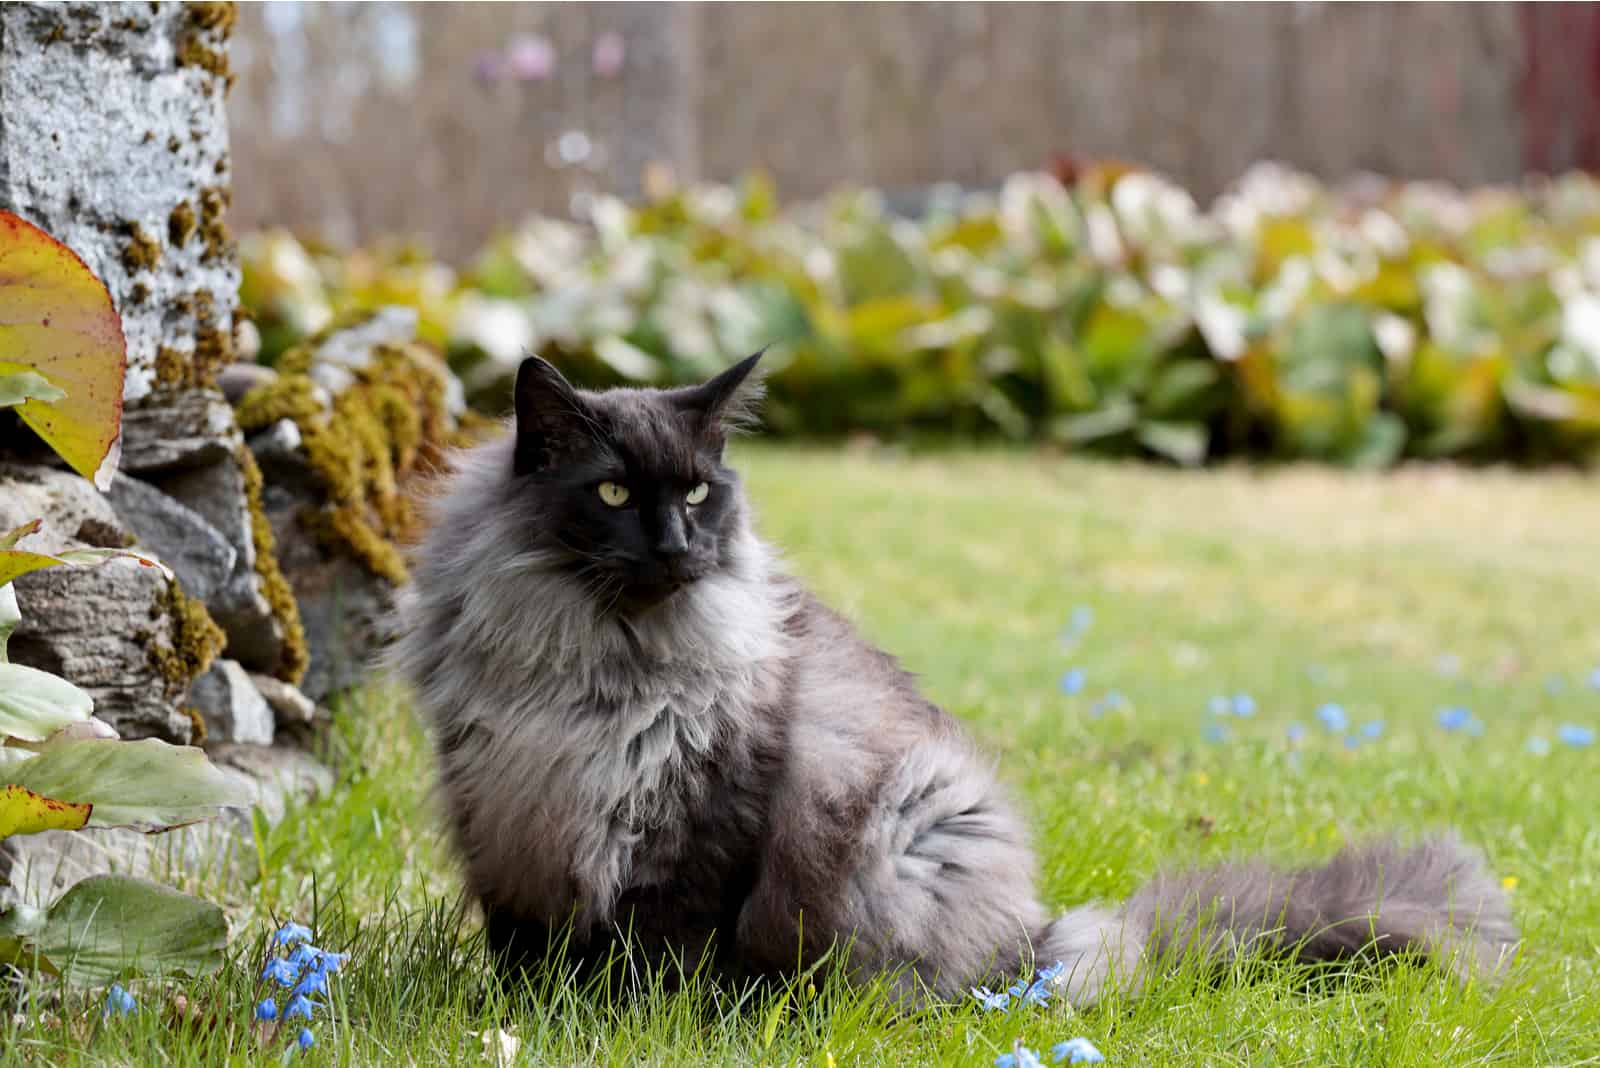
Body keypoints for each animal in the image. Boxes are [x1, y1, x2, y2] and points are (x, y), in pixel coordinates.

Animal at [393, 351, 1516, 1010]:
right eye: (616, 494)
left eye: (702, 494)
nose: (677, 545)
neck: (596, 664)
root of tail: (1042, 937)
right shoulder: (505, 819)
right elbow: (526, 957)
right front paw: (528, 1022)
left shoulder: (696, 821)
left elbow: (658, 955)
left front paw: (633, 1026)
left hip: (917, 826)